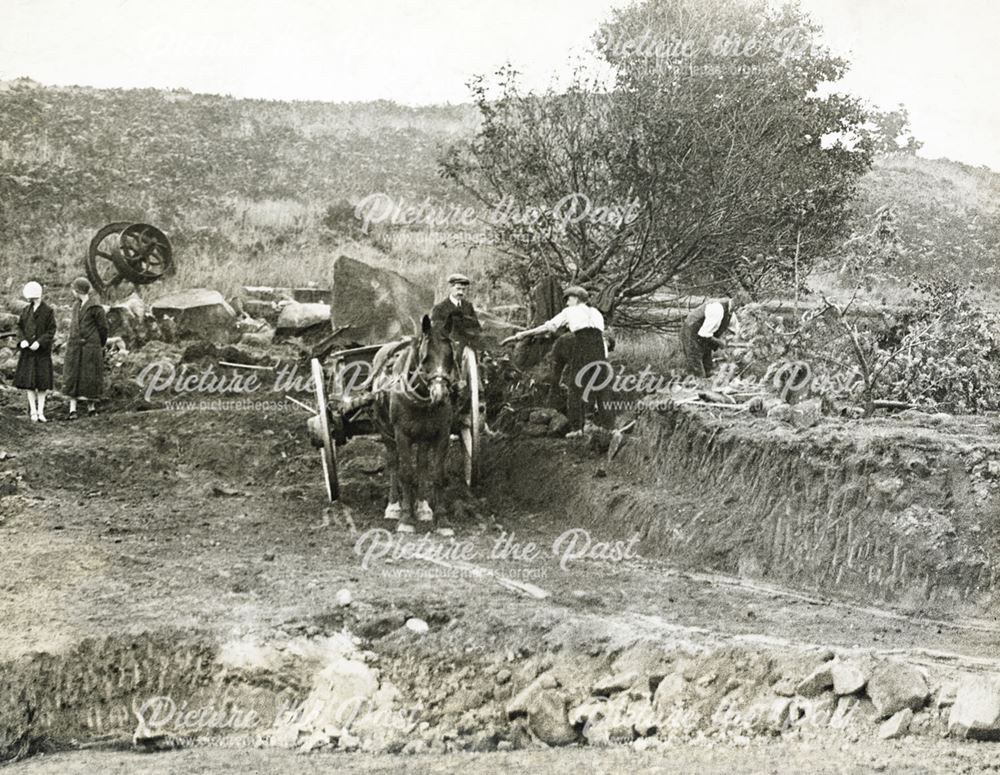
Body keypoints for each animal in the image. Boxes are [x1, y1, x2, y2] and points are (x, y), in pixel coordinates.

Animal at [372, 314, 458, 532]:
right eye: (425, 357)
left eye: (450, 356)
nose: (440, 394)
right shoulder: (401, 434)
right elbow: (405, 473)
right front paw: (405, 519)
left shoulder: (441, 434)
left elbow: (436, 474)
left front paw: (442, 520)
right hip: (386, 431)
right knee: (394, 463)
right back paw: (394, 505)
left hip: (423, 436)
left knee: (422, 465)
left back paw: (422, 506)